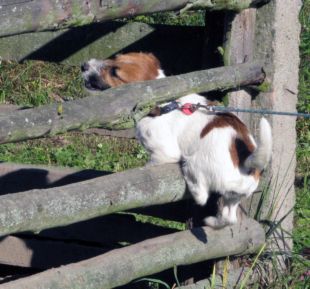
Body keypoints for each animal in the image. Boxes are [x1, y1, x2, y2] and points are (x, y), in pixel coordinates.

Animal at [81, 51, 272, 227]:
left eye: (114, 72)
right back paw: (212, 221)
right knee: (229, 218)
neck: (164, 105)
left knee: (201, 195)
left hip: (195, 163)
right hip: (234, 197)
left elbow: (151, 164)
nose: (83, 65)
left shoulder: (162, 154)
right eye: (114, 58)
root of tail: (247, 163)